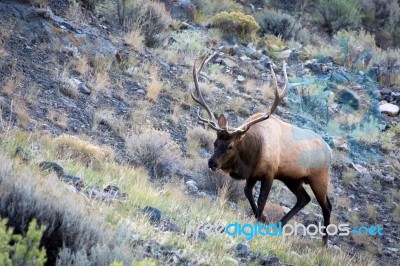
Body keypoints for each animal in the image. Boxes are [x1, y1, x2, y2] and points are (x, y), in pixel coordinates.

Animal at [191, 52, 332, 245]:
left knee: (326, 206)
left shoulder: (270, 173)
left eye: (231, 146)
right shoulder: (253, 174)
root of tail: (330, 151)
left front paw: (260, 219)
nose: (212, 163)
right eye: (215, 143)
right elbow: (247, 193)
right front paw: (262, 218)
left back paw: (324, 243)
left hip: (319, 178)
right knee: (304, 198)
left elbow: (262, 198)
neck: (251, 154)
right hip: (293, 179)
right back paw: (280, 224)